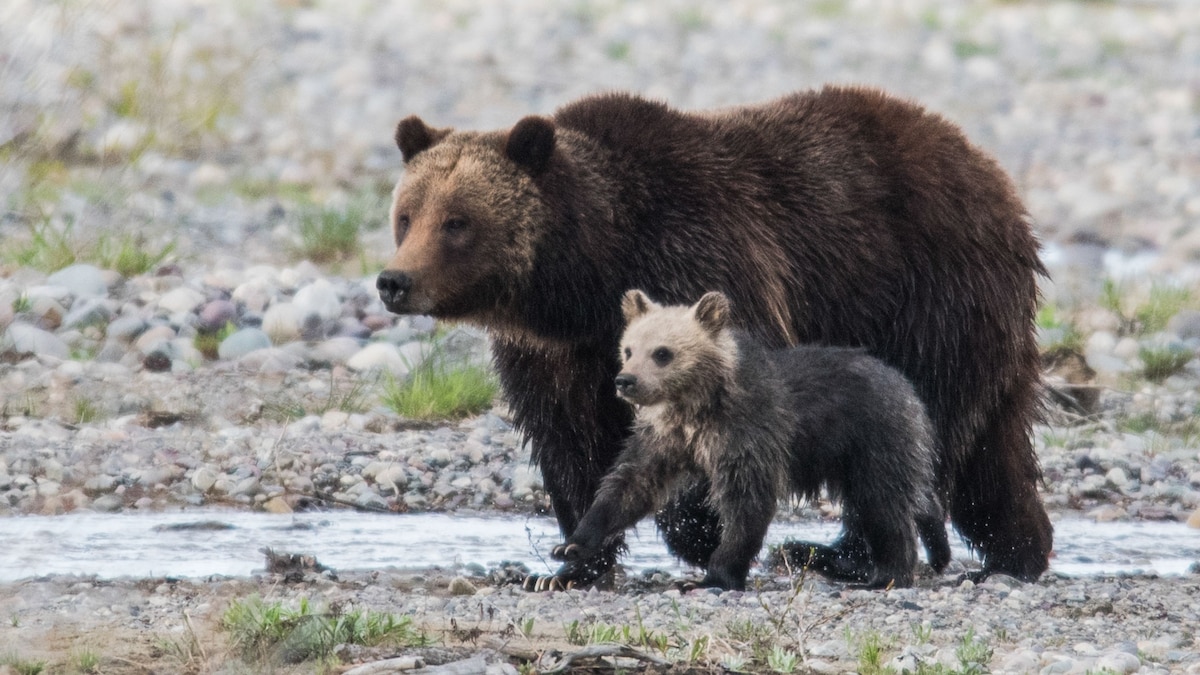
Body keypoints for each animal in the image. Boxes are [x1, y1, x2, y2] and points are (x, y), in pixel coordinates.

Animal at [550, 290, 952, 591]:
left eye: (663, 353)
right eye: (629, 348)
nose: (626, 381)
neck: (697, 405)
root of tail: (906, 387)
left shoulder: (749, 432)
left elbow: (747, 500)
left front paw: (713, 576)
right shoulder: (666, 438)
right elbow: (629, 485)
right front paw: (570, 545)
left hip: (873, 438)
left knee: (882, 504)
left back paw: (887, 574)